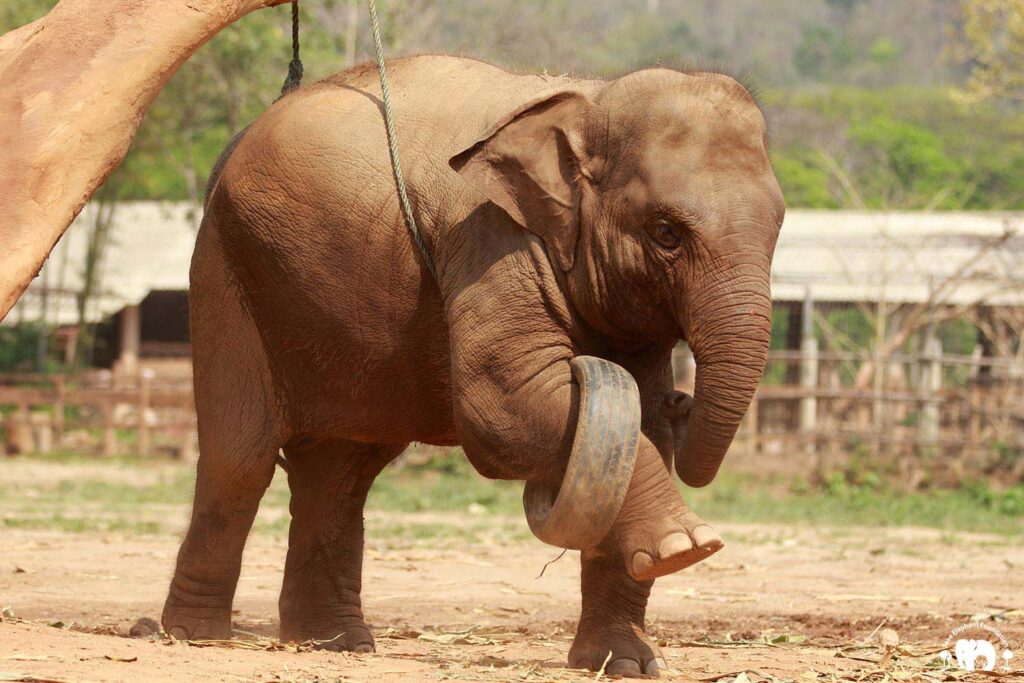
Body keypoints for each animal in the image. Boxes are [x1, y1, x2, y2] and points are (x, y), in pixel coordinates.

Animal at [160, 55, 784, 678]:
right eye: (665, 232)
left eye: (778, 226)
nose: (685, 400)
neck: (590, 99)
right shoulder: (489, 238)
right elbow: (504, 408)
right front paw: (687, 547)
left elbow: (636, 428)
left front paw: (626, 663)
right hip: (225, 269)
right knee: (242, 458)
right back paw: (197, 636)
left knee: (342, 472)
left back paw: (333, 642)